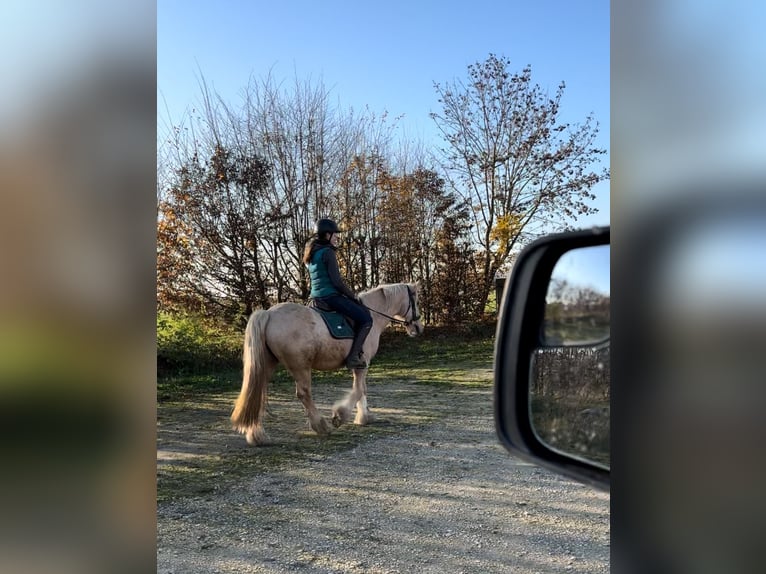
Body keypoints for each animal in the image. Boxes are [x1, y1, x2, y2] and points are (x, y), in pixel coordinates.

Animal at [232, 282, 426, 446]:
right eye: (416, 300)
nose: (418, 327)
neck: (373, 314)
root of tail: (269, 313)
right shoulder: (363, 363)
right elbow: (359, 389)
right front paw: (341, 416)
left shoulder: (360, 365)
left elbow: (361, 389)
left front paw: (365, 417)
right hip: (301, 366)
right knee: (303, 394)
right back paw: (321, 426)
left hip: (268, 364)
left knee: (257, 392)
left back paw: (257, 435)